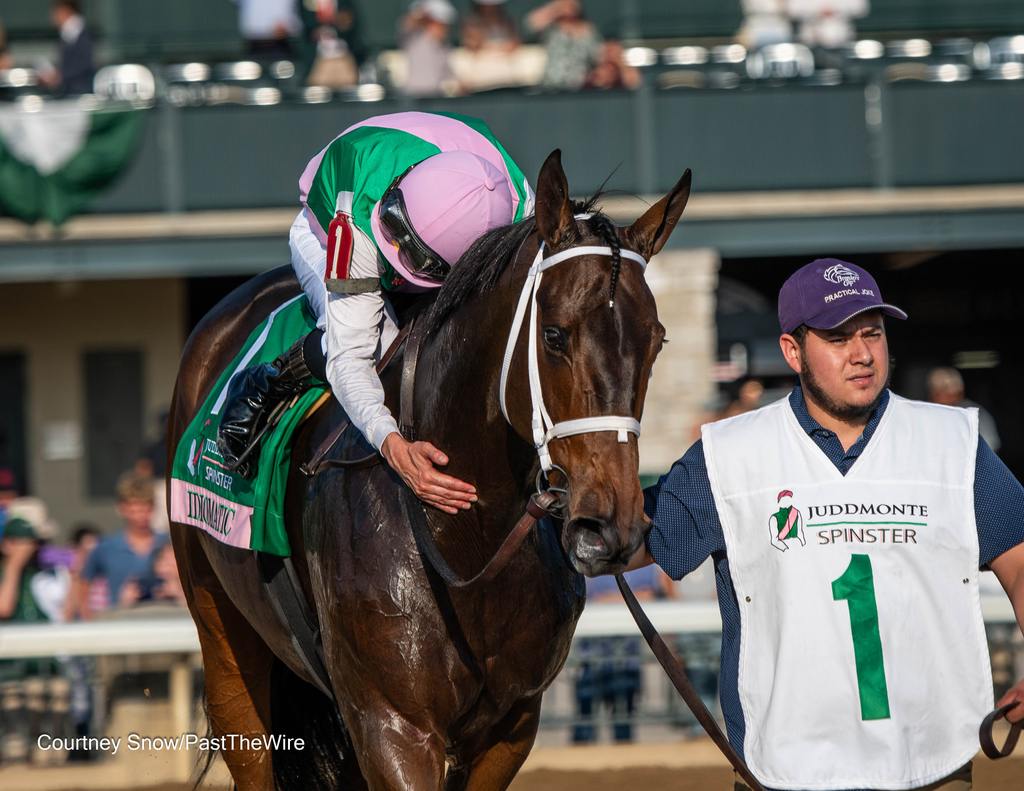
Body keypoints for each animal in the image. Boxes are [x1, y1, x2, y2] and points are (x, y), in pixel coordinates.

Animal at [167, 151, 692, 786]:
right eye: (554, 334)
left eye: (656, 341)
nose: (610, 525)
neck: (464, 544)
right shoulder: (390, 726)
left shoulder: (511, 726)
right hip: (221, 631)